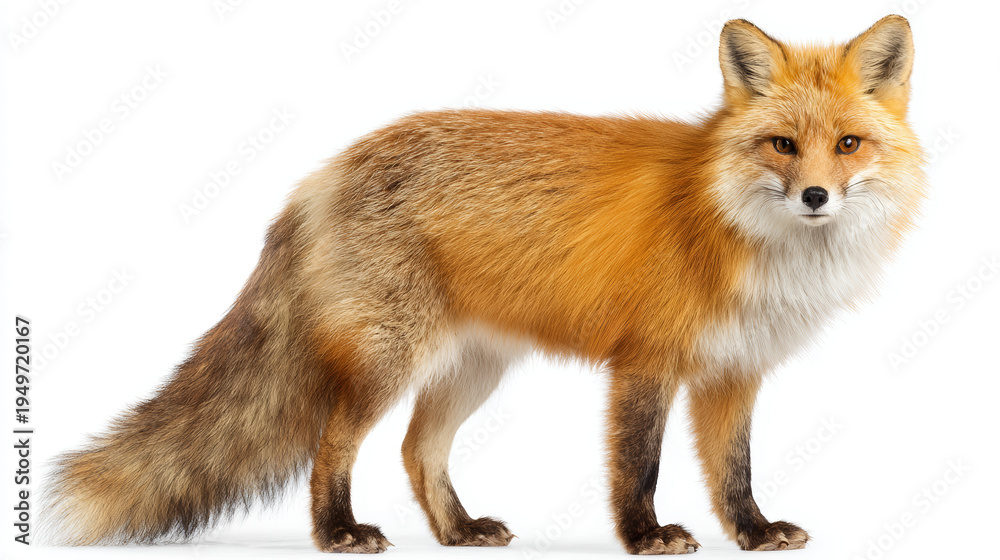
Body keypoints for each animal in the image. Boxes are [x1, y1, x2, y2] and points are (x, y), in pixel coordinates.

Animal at [42, 15, 925, 555]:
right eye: (782, 145)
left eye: (848, 145)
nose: (816, 196)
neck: (743, 233)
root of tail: (324, 171)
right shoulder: (645, 363)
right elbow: (637, 466)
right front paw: (644, 537)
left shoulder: (733, 371)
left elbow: (732, 473)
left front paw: (754, 532)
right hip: (388, 361)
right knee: (335, 444)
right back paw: (339, 532)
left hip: (472, 369)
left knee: (416, 449)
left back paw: (458, 530)